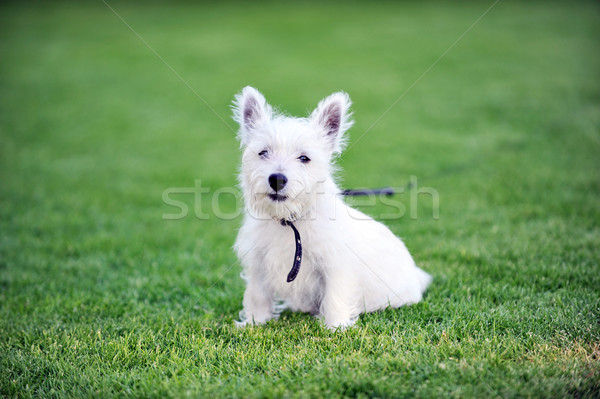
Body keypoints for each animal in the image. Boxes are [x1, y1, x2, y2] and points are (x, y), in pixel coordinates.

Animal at [230, 86, 432, 330]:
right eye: (263, 153)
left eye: (304, 158)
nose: (277, 179)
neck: (290, 220)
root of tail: (416, 276)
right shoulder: (259, 263)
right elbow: (257, 294)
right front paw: (255, 322)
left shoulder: (335, 265)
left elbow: (335, 296)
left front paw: (336, 327)